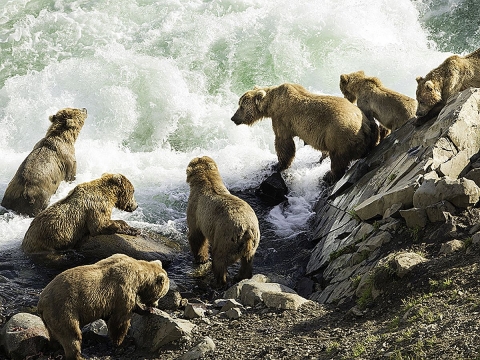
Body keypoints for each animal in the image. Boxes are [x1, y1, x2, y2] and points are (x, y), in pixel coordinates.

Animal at [37, 253, 170, 360]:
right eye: (162, 294)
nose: (155, 304)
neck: (139, 277)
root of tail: (40, 303)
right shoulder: (123, 288)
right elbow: (120, 320)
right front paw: (119, 342)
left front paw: (147, 310)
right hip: (63, 310)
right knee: (72, 335)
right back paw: (78, 355)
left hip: (51, 318)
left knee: (54, 335)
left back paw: (55, 349)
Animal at [186, 156, 260, 286]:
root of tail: (247, 230)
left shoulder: (196, 210)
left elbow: (196, 236)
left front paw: (201, 258)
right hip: (254, 240)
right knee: (247, 260)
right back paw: (240, 276)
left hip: (226, 236)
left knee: (219, 258)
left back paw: (218, 281)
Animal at [231, 83, 380, 181]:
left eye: (241, 106)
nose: (233, 118)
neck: (271, 104)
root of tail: (365, 125)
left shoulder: (282, 119)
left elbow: (283, 143)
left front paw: (278, 165)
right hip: (369, 130)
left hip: (339, 133)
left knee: (338, 158)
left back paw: (329, 175)